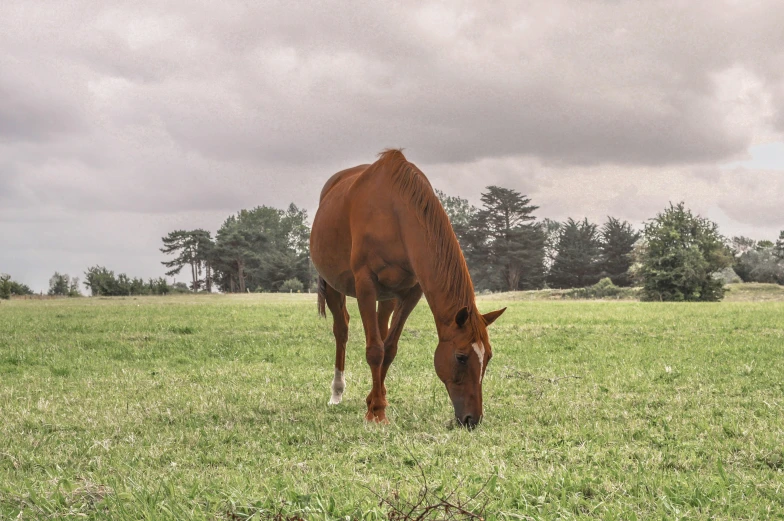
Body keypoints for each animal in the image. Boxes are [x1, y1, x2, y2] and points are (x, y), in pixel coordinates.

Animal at [310, 148, 506, 424]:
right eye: (461, 357)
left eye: (488, 356)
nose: (472, 419)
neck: (394, 214)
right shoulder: (365, 284)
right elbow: (375, 350)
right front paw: (376, 413)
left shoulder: (412, 291)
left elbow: (389, 348)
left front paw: (376, 402)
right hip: (334, 286)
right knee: (342, 330)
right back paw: (337, 392)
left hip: (387, 295)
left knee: (380, 330)